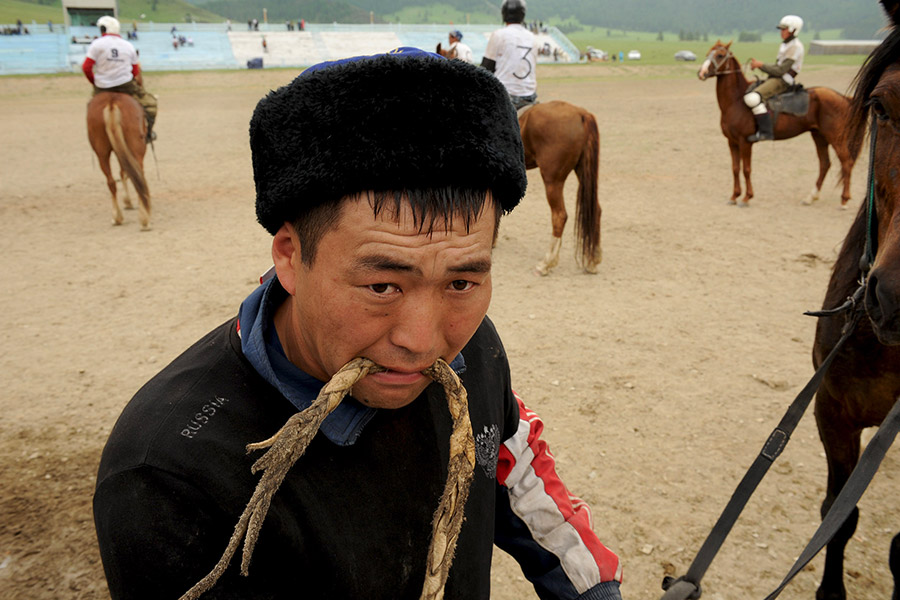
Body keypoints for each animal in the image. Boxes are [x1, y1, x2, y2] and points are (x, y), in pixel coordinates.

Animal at [86, 91, 151, 230]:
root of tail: (112, 102)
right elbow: (126, 173)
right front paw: (128, 201)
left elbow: (122, 172)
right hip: (137, 148)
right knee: (138, 176)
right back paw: (144, 218)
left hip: (102, 151)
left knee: (111, 181)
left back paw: (117, 217)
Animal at [696, 41, 856, 207]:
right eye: (708, 54)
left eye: (720, 55)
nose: (701, 73)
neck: (736, 100)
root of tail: (843, 98)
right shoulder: (732, 142)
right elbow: (735, 168)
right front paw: (734, 196)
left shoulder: (745, 142)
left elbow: (746, 169)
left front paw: (747, 197)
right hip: (819, 136)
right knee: (825, 164)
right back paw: (811, 197)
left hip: (835, 137)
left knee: (847, 162)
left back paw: (844, 200)